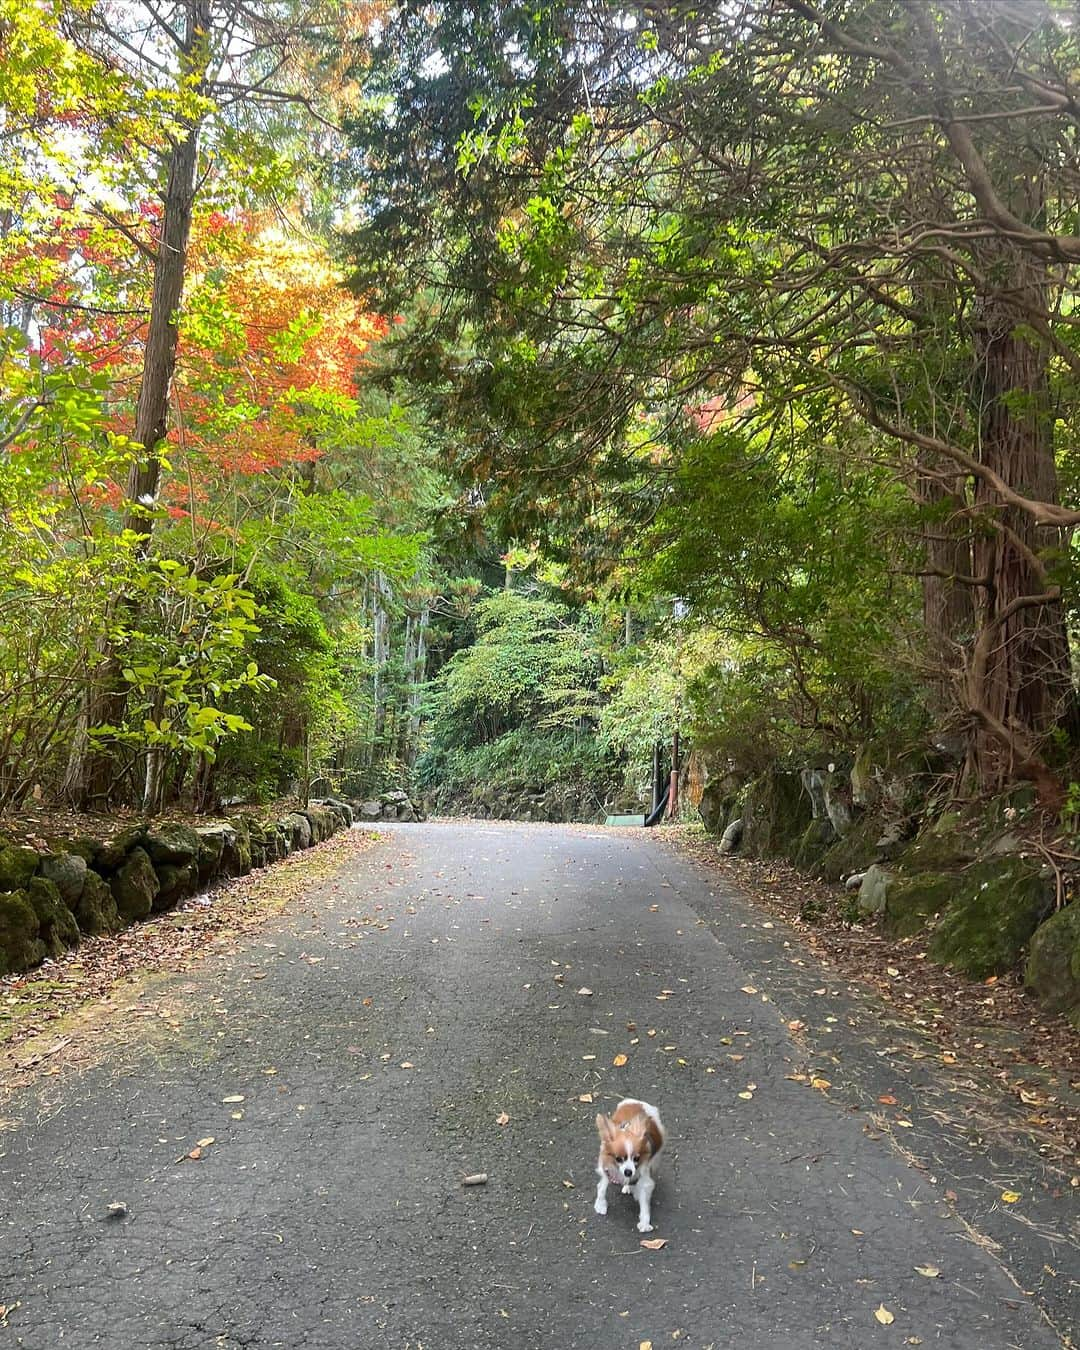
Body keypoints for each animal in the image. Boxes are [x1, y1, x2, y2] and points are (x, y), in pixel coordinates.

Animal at [594, 1096, 661, 1236]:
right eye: (618, 1159)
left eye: (637, 1158)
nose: (628, 1172)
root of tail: (637, 1102)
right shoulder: (607, 1167)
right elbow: (602, 1187)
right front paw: (600, 1204)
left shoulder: (644, 1178)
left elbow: (644, 1202)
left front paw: (644, 1223)